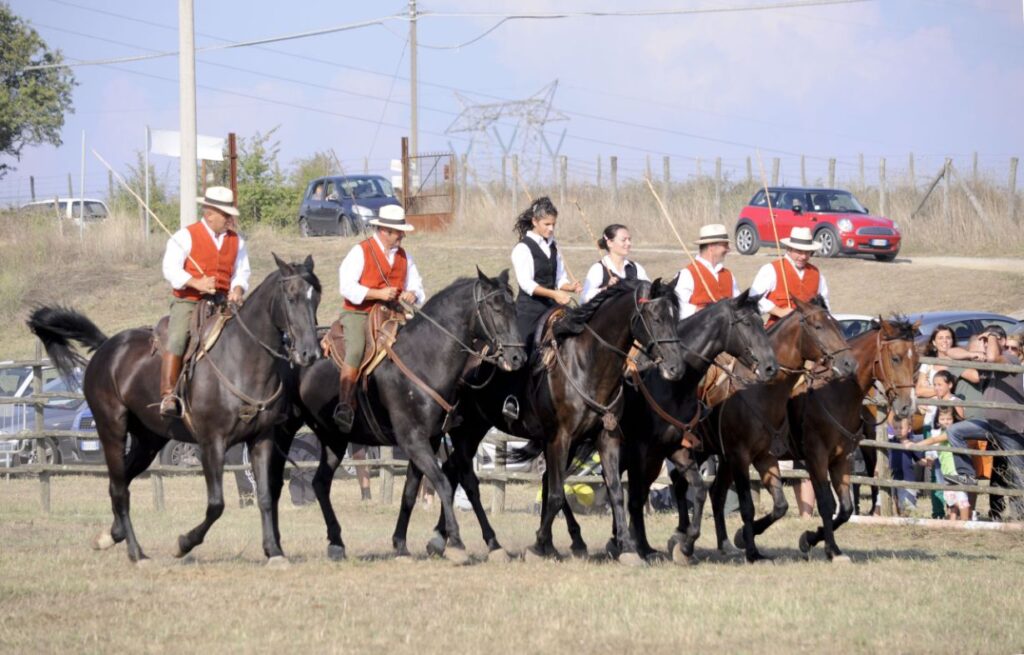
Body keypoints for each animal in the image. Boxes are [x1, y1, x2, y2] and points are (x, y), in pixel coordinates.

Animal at [28, 254, 319, 564]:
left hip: (149, 440)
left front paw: (274, 552)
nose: (310, 352)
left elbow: (265, 496)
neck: (241, 359)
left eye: (316, 297)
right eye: (291, 297)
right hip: (112, 429)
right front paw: (184, 543)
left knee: (121, 482)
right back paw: (136, 553)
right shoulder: (211, 443)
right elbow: (216, 504)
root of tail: (107, 347)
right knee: (119, 488)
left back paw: (112, 535)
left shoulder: (261, 439)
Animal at [276, 268, 524, 564]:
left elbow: (410, 491)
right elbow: (442, 483)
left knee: (321, 483)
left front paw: (401, 545)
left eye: (514, 307)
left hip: (334, 440)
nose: (518, 357)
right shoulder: (413, 441)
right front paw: (455, 542)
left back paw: (336, 543)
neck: (424, 359)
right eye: (495, 307)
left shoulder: (429, 440)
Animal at [399, 276, 688, 564]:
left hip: (476, 428)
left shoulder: (606, 437)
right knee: (462, 475)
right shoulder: (559, 438)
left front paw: (626, 548)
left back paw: (441, 539)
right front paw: (539, 546)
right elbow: (557, 493)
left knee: (451, 470)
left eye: (676, 316)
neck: (586, 363)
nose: (676, 368)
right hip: (465, 430)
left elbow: (614, 490)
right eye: (656, 317)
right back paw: (478, 542)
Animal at [696, 296, 856, 564]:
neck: (759, 389)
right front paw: (751, 551)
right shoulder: (742, 456)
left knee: (716, 493)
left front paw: (745, 539)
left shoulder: (764, 456)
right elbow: (748, 505)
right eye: (818, 326)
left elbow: (780, 505)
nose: (848, 363)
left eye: (837, 325)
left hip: (723, 458)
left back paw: (725, 544)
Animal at [790, 315, 921, 556]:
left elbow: (845, 508)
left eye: (916, 360)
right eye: (896, 358)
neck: (835, 391)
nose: (908, 407)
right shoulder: (816, 457)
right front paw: (828, 547)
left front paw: (812, 537)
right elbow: (827, 504)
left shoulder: (841, 458)